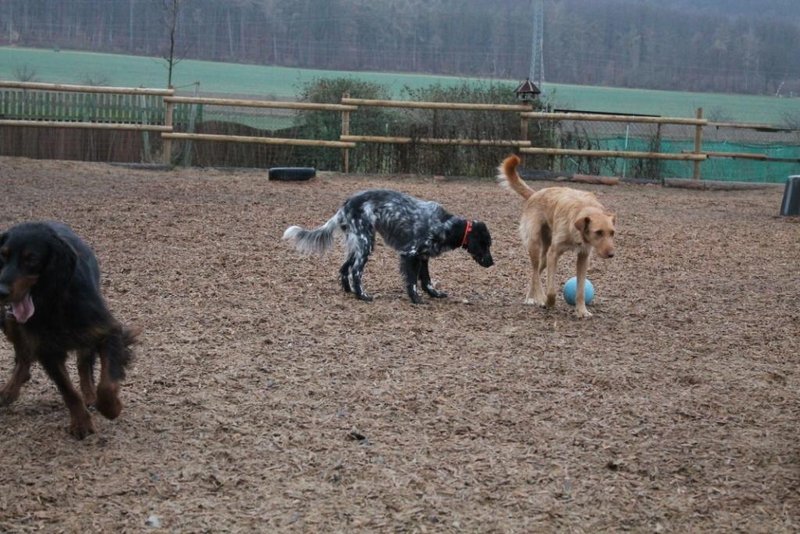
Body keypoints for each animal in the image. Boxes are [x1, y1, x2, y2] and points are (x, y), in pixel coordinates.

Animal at [0, 222, 138, 440]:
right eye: (3, 255)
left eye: (31, 259)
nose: (0, 291)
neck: (52, 301)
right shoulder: (47, 349)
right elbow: (68, 391)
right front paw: (81, 423)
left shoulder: (106, 331)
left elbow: (106, 384)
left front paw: (111, 408)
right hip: (9, 321)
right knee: (23, 357)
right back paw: (10, 390)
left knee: (83, 363)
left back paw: (89, 395)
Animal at [282, 191, 494, 304]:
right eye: (485, 245)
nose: (492, 263)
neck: (446, 225)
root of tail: (346, 205)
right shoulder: (410, 254)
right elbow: (412, 282)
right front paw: (416, 299)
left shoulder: (423, 257)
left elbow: (426, 280)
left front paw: (435, 294)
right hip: (366, 244)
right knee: (356, 271)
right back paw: (362, 295)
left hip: (358, 245)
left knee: (344, 269)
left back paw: (349, 291)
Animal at [496, 155, 616, 318]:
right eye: (598, 232)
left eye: (612, 233)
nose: (611, 254)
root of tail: (535, 194)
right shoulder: (554, 254)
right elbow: (551, 290)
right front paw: (548, 302)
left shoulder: (583, 257)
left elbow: (580, 290)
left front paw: (581, 310)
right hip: (535, 245)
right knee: (535, 272)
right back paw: (539, 298)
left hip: (544, 254)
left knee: (536, 272)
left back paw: (530, 297)